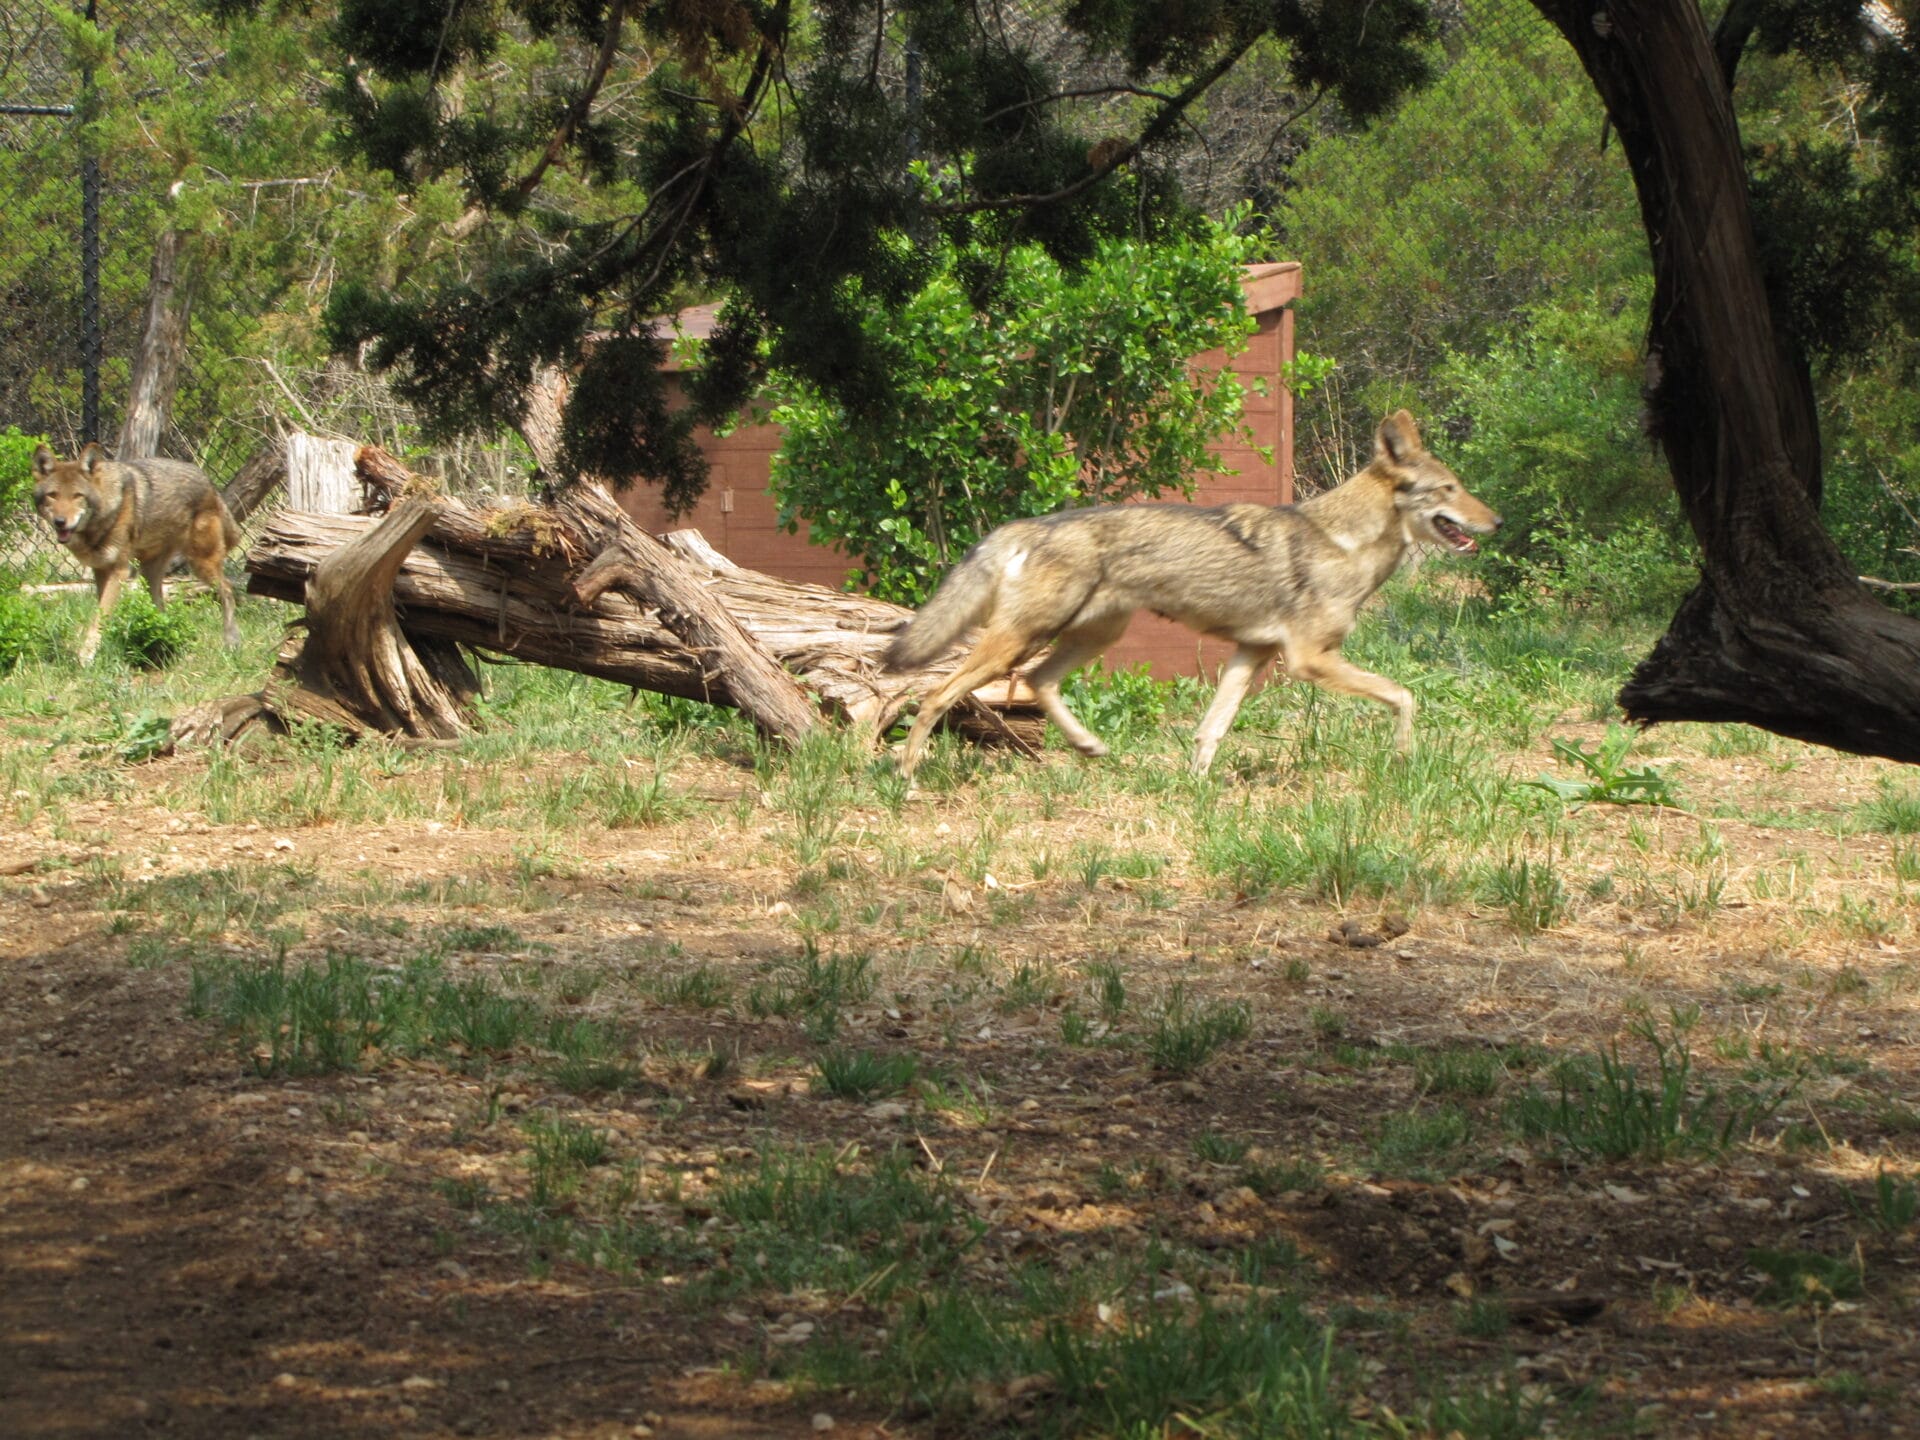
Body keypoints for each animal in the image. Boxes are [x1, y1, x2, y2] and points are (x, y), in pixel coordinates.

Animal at [31, 443, 242, 664]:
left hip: (201, 563)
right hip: (151, 574)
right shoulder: (101, 569)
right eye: (53, 495)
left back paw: (231, 642)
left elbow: (100, 616)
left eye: (77, 496)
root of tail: (208, 481)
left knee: (227, 589)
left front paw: (86, 656)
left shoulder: (120, 570)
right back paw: (162, 644)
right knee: (161, 605)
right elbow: (102, 613)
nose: (60, 522)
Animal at [884, 410, 1500, 776]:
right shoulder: (1309, 661)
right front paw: (1403, 758)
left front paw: (1199, 788)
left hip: (1089, 638)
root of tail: (1026, 525)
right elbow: (1404, 695)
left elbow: (1212, 729)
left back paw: (1088, 746)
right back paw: (908, 778)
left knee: (1038, 683)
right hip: (1017, 643)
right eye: (1450, 489)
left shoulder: (1251, 655)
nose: (1497, 520)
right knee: (935, 695)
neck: (1343, 541)